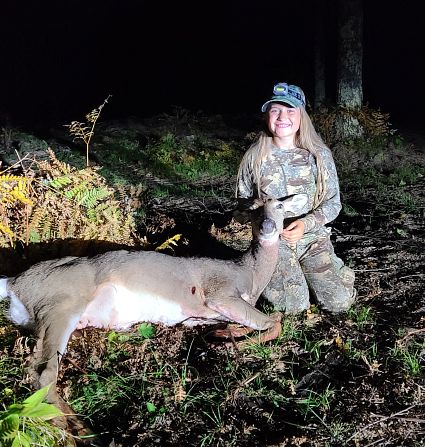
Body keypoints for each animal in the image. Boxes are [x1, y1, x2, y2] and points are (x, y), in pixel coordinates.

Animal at [0, 194, 304, 422]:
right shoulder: (220, 292)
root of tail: (14, 282)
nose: (267, 226)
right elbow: (274, 321)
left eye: (279, 206)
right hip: (61, 304)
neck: (249, 273)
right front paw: (233, 345)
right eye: (253, 210)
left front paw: (223, 335)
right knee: (43, 372)